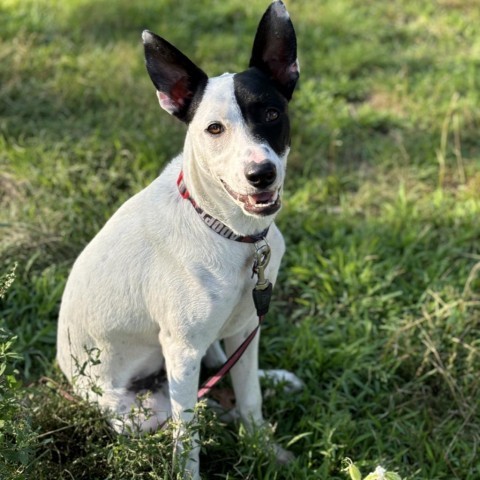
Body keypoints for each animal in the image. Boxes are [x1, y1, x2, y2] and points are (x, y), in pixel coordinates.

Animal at [57, 2, 300, 476]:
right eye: (214, 129)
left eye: (271, 114)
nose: (261, 174)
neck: (230, 233)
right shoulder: (182, 353)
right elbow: (188, 438)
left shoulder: (248, 322)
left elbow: (250, 397)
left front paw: (262, 445)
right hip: (143, 409)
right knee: (189, 404)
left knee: (225, 368)